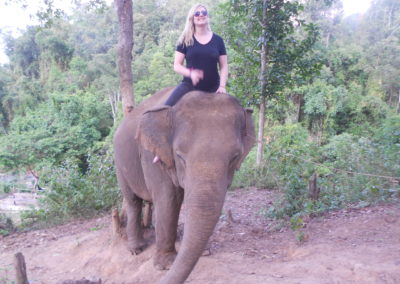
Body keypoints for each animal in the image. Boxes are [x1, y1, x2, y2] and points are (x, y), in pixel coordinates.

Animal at [114, 87, 255, 284]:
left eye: (235, 157)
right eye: (180, 156)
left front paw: (205, 253)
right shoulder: (152, 156)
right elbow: (168, 199)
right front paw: (165, 265)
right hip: (119, 163)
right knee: (133, 201)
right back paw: (136, 249)